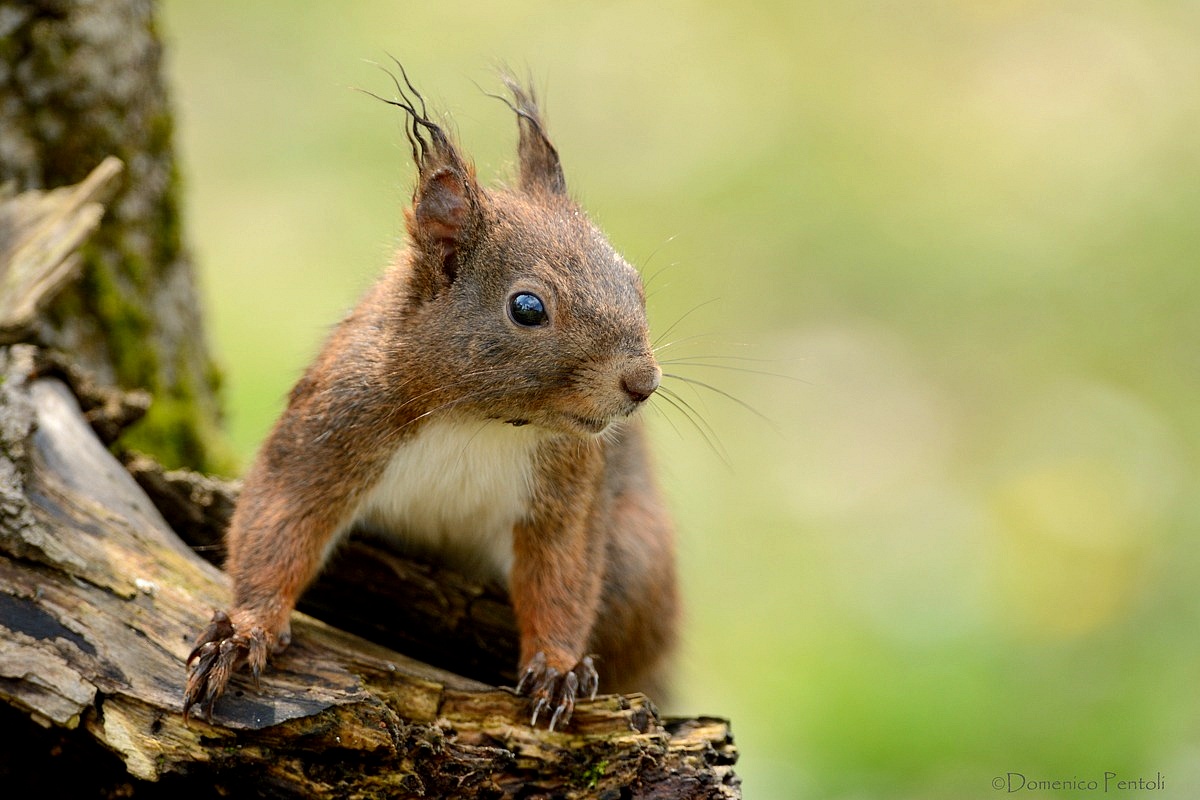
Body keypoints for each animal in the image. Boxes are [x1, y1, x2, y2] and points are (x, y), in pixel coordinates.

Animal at [183, 67, 678, 731]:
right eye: (527, 308)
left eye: (634, 281)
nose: (642, 383)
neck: (476, 419)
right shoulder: (332, 424)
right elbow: (280, 522)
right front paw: (243, 631)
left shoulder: (569, 484)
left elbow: (563, 575)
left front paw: (558, 666)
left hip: (638, 568)